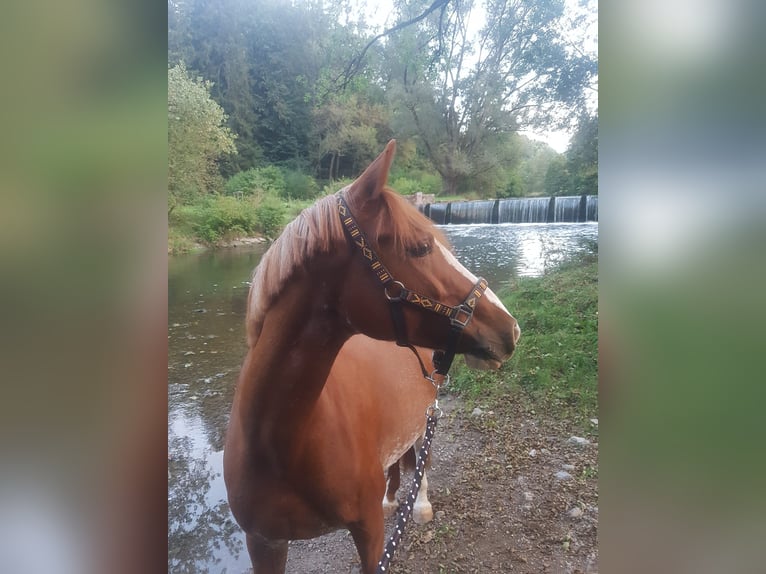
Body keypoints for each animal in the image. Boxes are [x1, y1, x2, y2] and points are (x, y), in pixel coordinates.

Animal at [223, 140, 521, 573]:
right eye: (420, 248)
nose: (510, 329)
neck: (281, 443)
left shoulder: (369, 533)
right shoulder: (264, 543)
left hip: (424, 417)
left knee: (421, 459)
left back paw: (420, 505)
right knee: (397, 464)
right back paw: (392, 497)